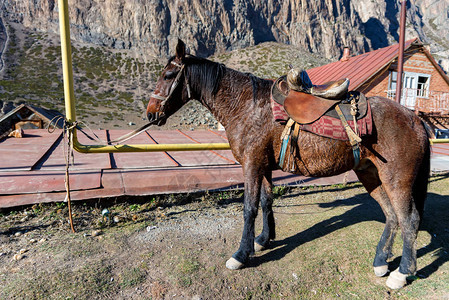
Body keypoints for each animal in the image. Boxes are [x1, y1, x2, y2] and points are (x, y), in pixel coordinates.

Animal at [147, 39, 430, 288]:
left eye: (169, 75)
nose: (151, 114)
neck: (246, 105)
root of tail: (414, 119)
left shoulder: (251, 165)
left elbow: (249, 208)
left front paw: (241, 255)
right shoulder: (263, 167)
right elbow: (266, 201)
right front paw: (263, 239)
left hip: (397, 180)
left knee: (409, 219)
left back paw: (402, 273)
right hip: (371, 175)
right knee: (391, 216)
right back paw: (381, 261)